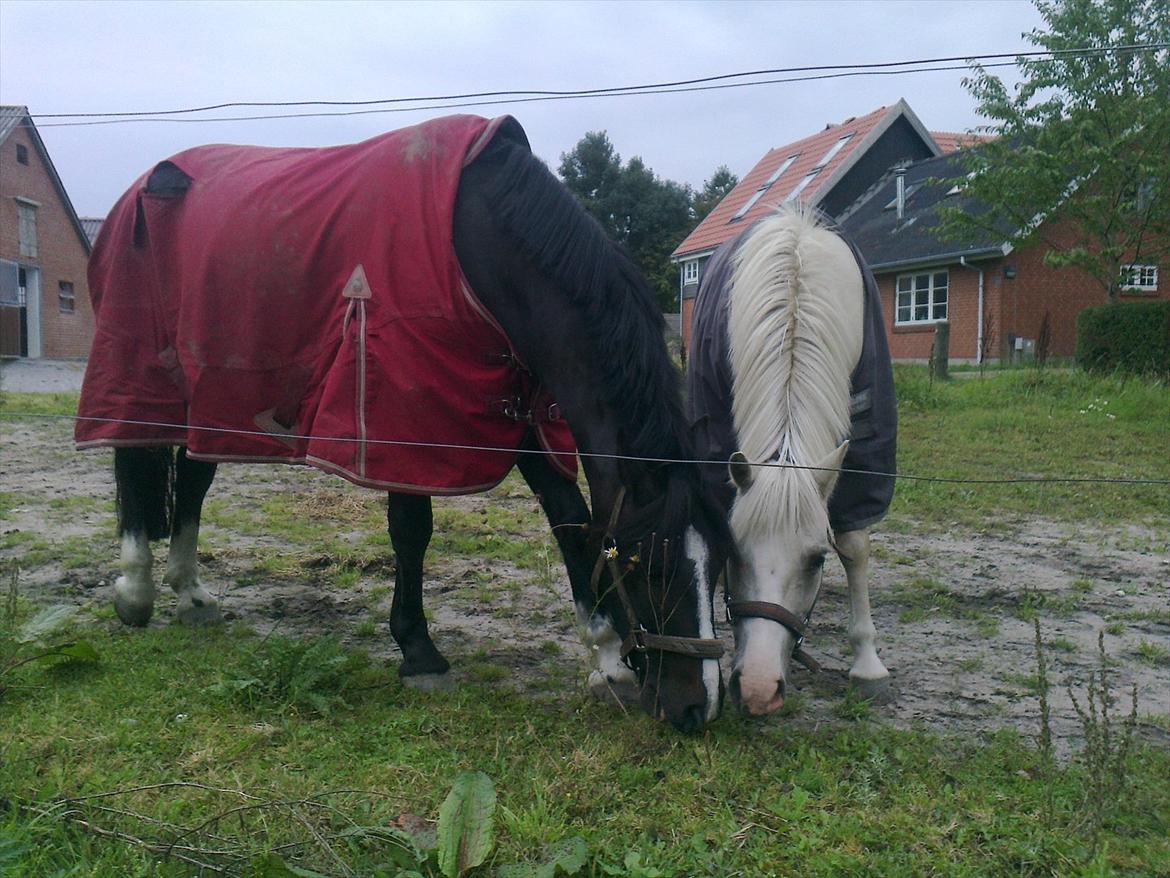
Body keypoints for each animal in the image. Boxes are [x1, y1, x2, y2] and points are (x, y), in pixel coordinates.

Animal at [75, 117, 730, 735]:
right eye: (653, 566)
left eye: (721, 566)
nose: (697, 709)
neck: (479, 245)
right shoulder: (401, 414)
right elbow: (412, 530)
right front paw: (418, 650)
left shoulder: (520, 413)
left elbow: (570, 520)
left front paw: (608, 660)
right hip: (140, 366)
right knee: (133, 460)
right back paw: (135, 592)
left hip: (214, 394)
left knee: (193, 478)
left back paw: (190, 594)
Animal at [687, 208, 889, 721]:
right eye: (734, 553)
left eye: (817, 559)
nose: (759, 688)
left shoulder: (868, 440)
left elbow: (855, 544)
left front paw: (868, 663)